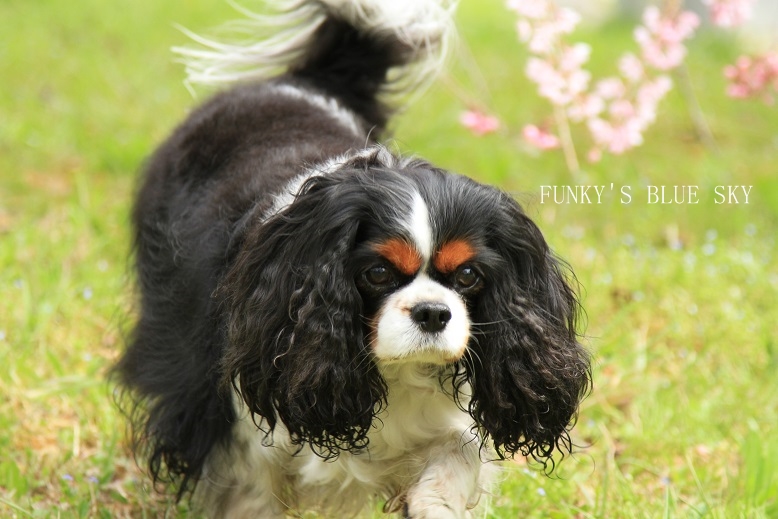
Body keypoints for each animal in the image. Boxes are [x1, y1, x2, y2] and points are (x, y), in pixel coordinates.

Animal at [113, 1, 588, 516]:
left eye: (467, 275)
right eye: (377, 273)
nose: (433, 312)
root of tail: (300, 82)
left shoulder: (447, 430)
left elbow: (447, 470)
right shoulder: (240, 429)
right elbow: (252, 496)